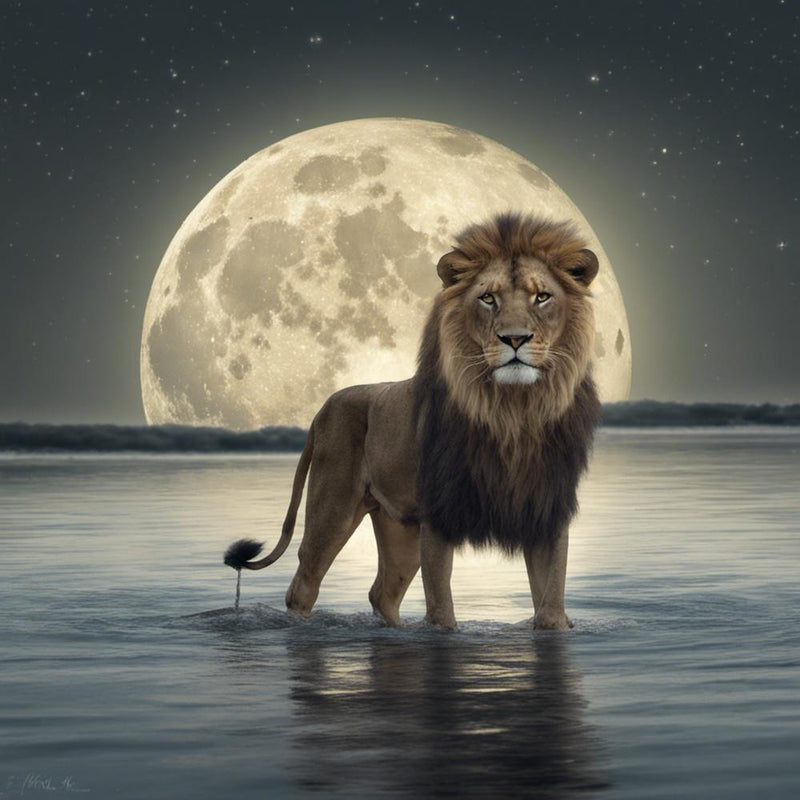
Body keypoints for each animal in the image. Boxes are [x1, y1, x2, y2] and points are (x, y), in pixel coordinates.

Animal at [224, 212, 602, 630]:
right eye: (488, 298)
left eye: (542, 297)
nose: (515, 339)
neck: (513, 412)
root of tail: (323, 407)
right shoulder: (438, 518)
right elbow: (441, 612)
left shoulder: (546, 514)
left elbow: (551, 608)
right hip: (332, 510)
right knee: (303, 585)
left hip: (399, 527)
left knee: (382, 592)